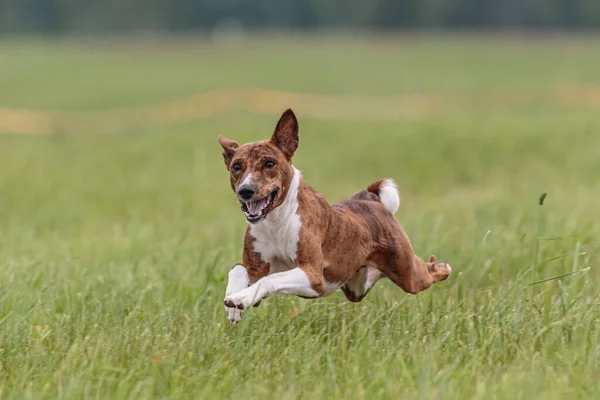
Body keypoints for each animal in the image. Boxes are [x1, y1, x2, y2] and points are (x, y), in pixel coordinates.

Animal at [217, 109, 450, 324]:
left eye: (269, 163)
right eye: (236, 166)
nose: (246, 191)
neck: (276, 222)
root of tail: (370, 199)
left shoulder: (313, 277)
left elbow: (270, 280)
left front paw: (238, 299)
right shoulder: (257, 271)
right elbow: (238, 269)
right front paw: (234, 303)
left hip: (407, 274)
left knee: (428, 273)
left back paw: (441, 266)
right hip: (357, 284)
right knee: (373, 275)